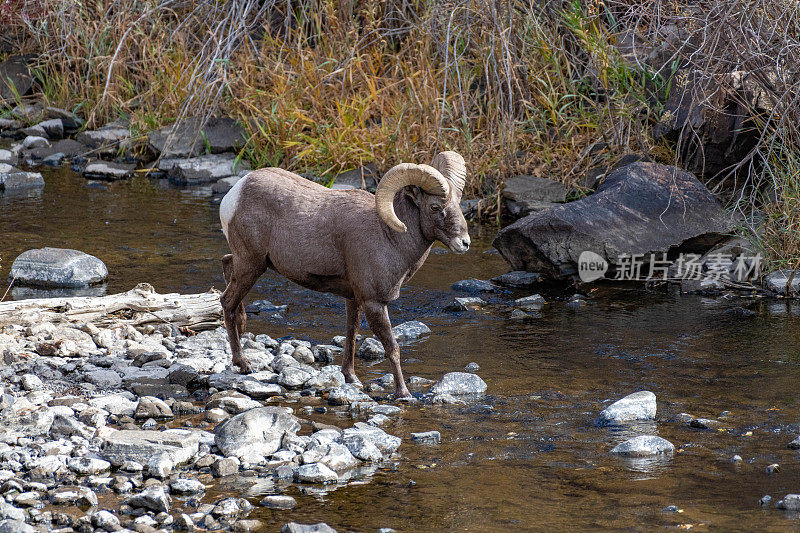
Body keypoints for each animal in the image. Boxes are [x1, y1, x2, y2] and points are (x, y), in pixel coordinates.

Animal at [219, 152, 468, 396]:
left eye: (458, 203)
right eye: (435, 207)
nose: (464, 243)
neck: (388, 235)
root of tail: (234, 195)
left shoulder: (353, 298)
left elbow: (351, 334)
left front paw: (351, 378)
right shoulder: (374, 303)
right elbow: (392, 347)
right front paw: (403, 393)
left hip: (249, 263)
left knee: (227, 264)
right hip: (252, 265)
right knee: (227, 301)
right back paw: (243, 364)